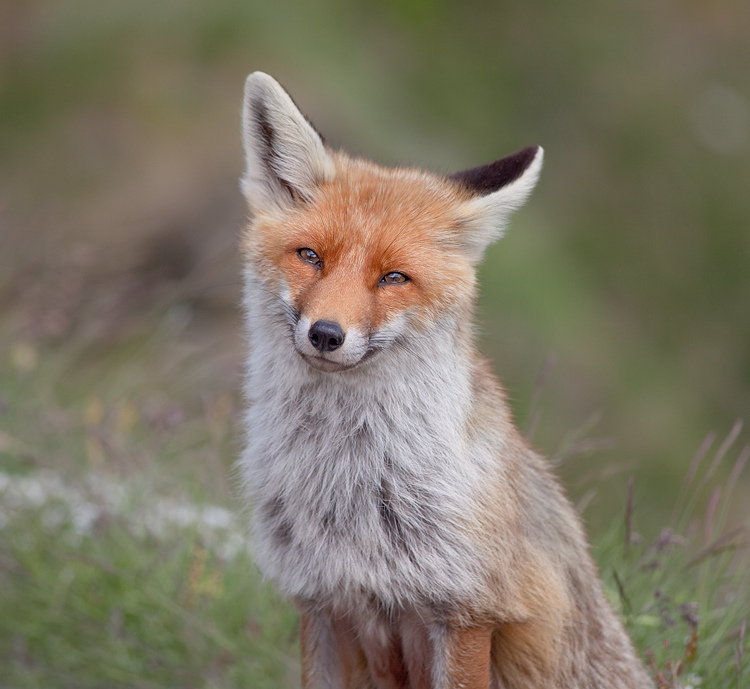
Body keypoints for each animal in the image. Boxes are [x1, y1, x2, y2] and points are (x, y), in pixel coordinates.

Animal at [239, 71, 652, 688]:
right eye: (310, 256)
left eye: (393, 278)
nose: (326, 334)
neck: (349, 486)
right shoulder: (321, 603)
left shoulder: (466, 614)